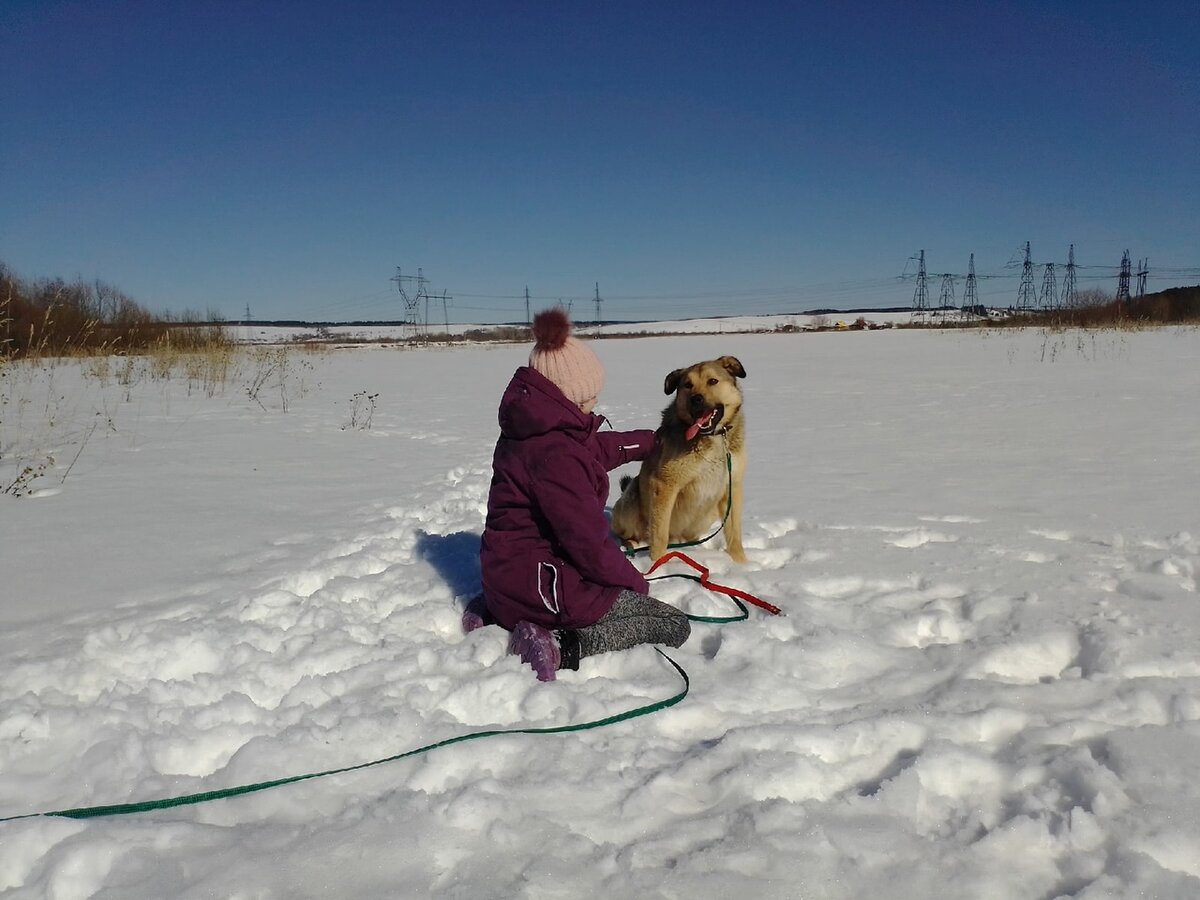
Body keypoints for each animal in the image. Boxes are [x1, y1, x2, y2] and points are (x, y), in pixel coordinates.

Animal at [614, 357, 744, 564]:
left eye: (713, 381)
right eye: (687, 385)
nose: (696, 399)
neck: (711, 438)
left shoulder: (731, 486)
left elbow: (734, 533)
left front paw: (742, 564)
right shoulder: (664, 485)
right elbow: (659, 535)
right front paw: (657, 564)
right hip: (632, 500)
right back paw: (631, 545)